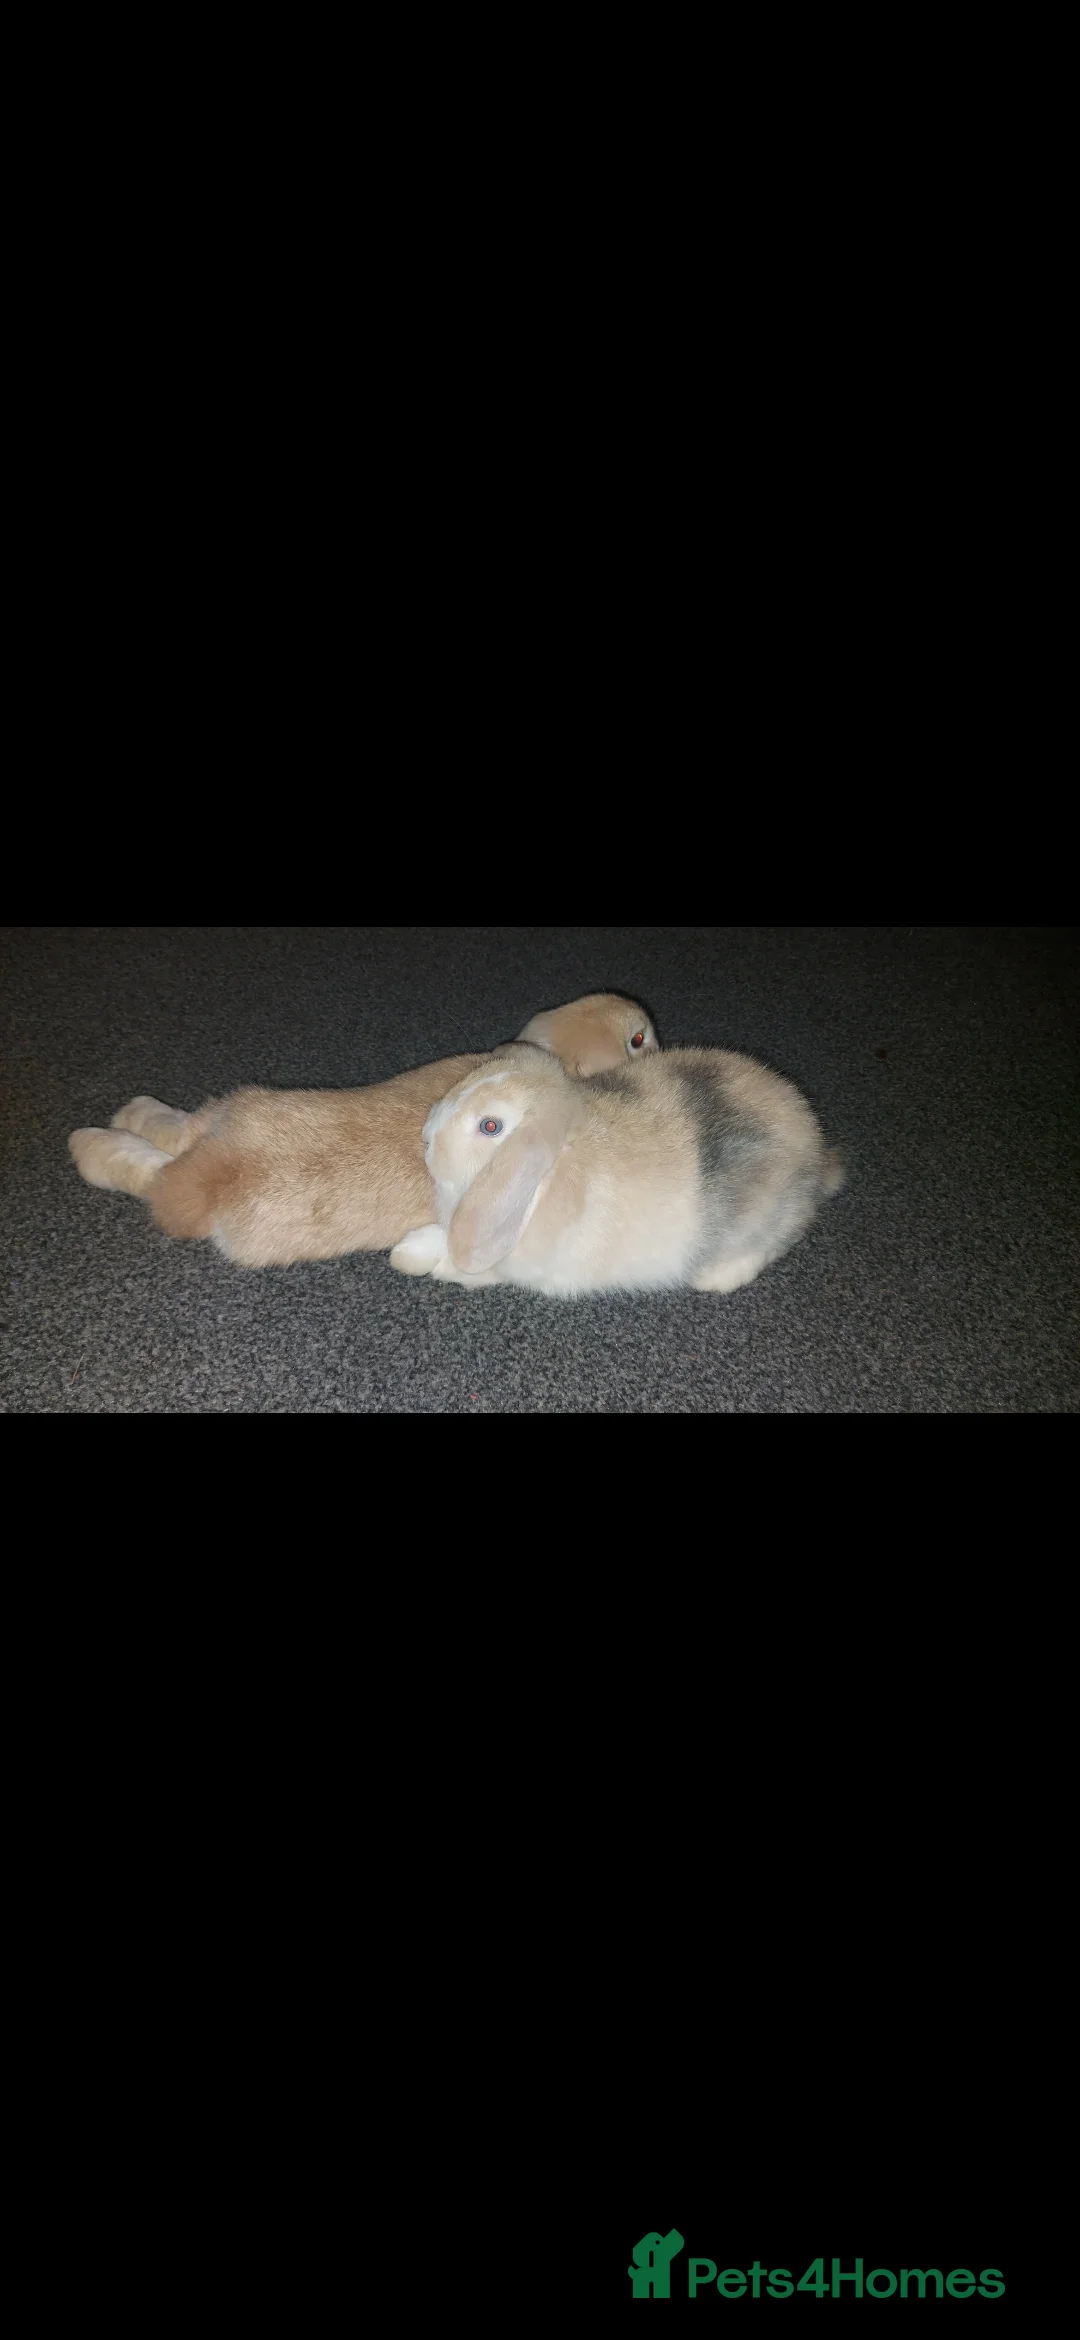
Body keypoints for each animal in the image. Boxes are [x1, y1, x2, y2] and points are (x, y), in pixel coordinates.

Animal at [67, 993, 659, 1268]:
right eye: (637, 1039)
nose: (656, 1046)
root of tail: (223, 1170)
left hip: (224, 1116)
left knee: (170, 1143)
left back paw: (124, 1119)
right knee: (152, 1178)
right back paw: (89, 1144)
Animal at [390, 1042, 843, 1295]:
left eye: (490, 1126)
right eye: (470, 1078)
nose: (426, 1137)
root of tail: (817, 1150)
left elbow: (471, 1268)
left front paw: (425, 1264)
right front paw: (408, 1250)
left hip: (762, 1224)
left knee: (771, 1246)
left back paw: (714, 1279)